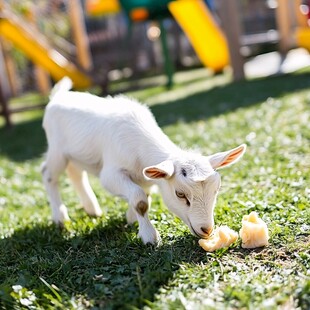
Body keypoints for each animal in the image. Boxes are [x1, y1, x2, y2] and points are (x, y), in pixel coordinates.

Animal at [41, 77, 246, 245]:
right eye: (180, 194)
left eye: (216, 190)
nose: (207, 230)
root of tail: (58, 96)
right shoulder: (111, 173)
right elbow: (140, 200)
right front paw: (149, 237)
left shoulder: (145, 175)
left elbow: (143, 195)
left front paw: (131, 218)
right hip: (57, 149)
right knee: (48, 174)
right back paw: (60, 217)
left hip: (76, 154)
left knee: (76, 174)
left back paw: (92, 209)